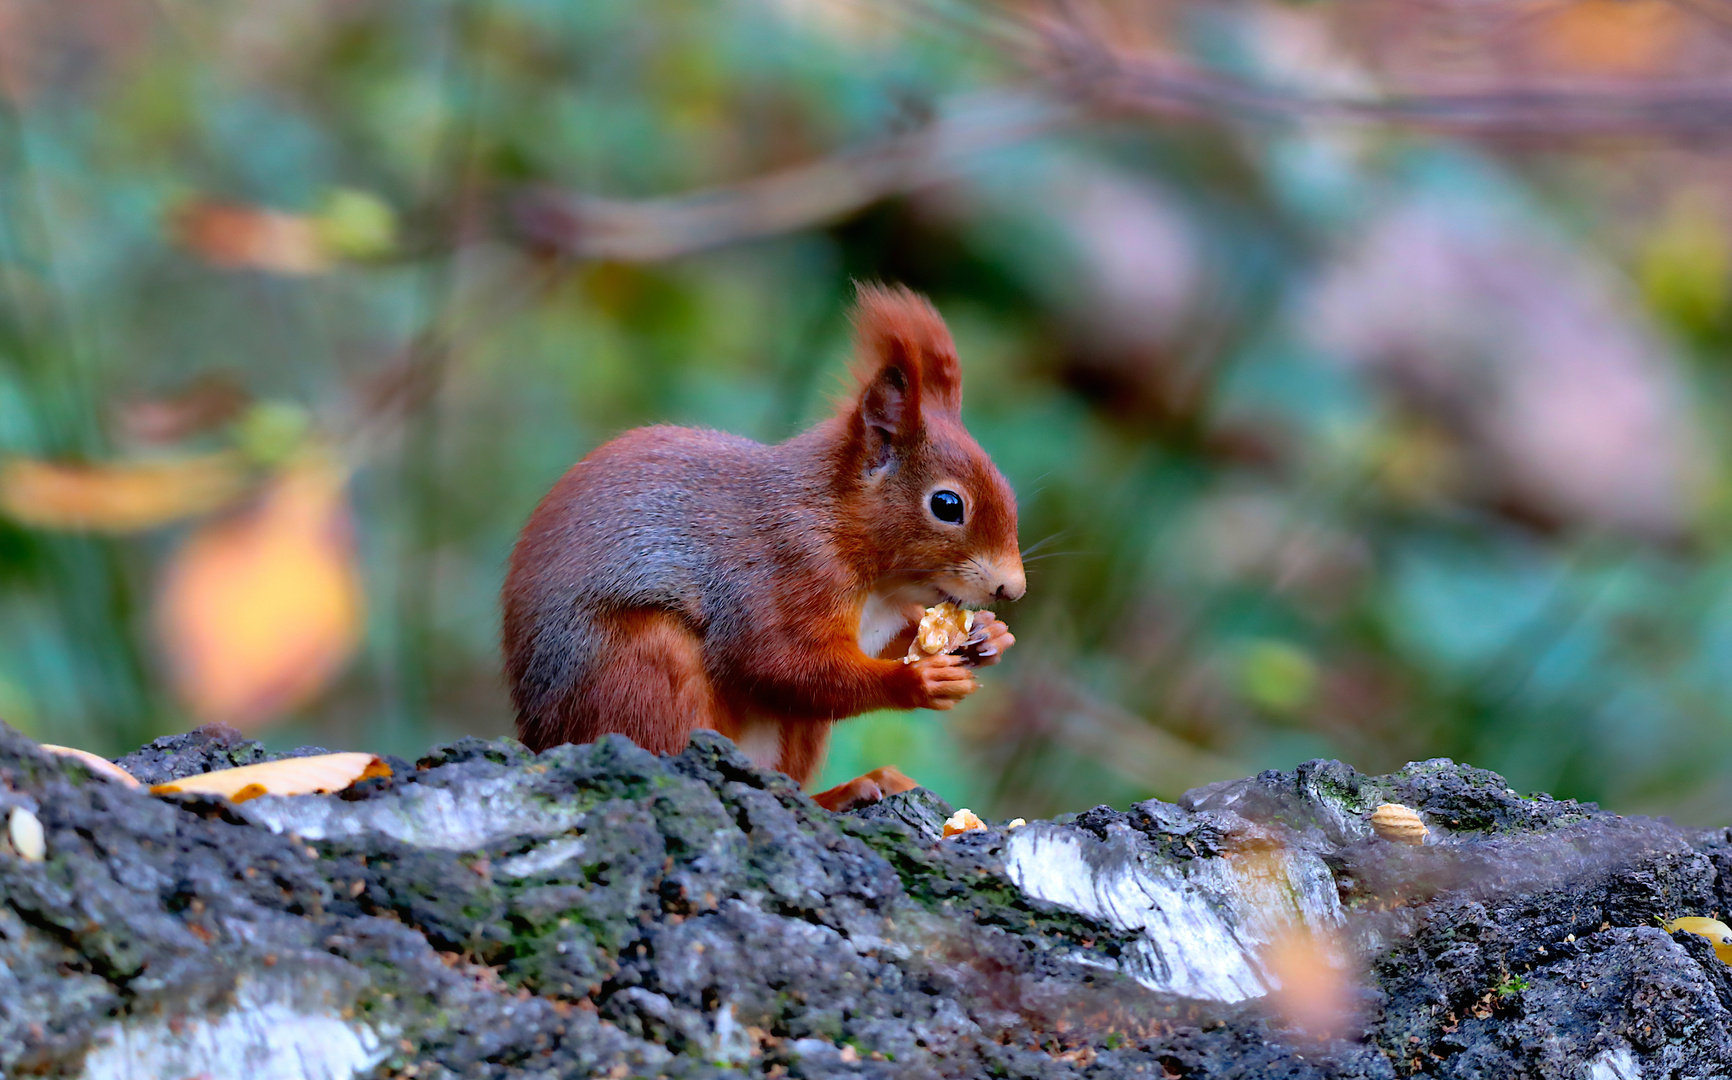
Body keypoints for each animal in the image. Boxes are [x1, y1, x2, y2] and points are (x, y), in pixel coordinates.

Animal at [502, 287, 1018, 810]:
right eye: (947, 504)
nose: (1011, 589)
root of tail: (541, 736)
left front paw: (991, 635)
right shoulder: (783, 570)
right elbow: (774, 663)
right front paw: (917, 681)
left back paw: (847, 791)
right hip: (635, 668)